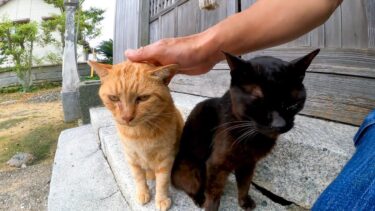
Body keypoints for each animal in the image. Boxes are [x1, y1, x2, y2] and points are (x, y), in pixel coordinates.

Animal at [87, 60, 184, 210]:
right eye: (114, 98)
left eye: (143, 98)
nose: (127, 117)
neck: (140, 133)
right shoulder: (131, 157)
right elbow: (138, 178)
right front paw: (143, 193)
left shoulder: (165, 158)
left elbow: (162, 182)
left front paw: (161, 199)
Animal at [171, 48, 320, 210]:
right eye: (259, 104)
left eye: (292, 105)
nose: (279, 124)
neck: (252, 136)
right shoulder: (216, 164)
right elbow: (213, 195)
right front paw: (210, 205)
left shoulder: (248, 163)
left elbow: (245, 184)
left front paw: (244, 202)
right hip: (192, 170)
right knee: (190, 187)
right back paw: (200, 198)